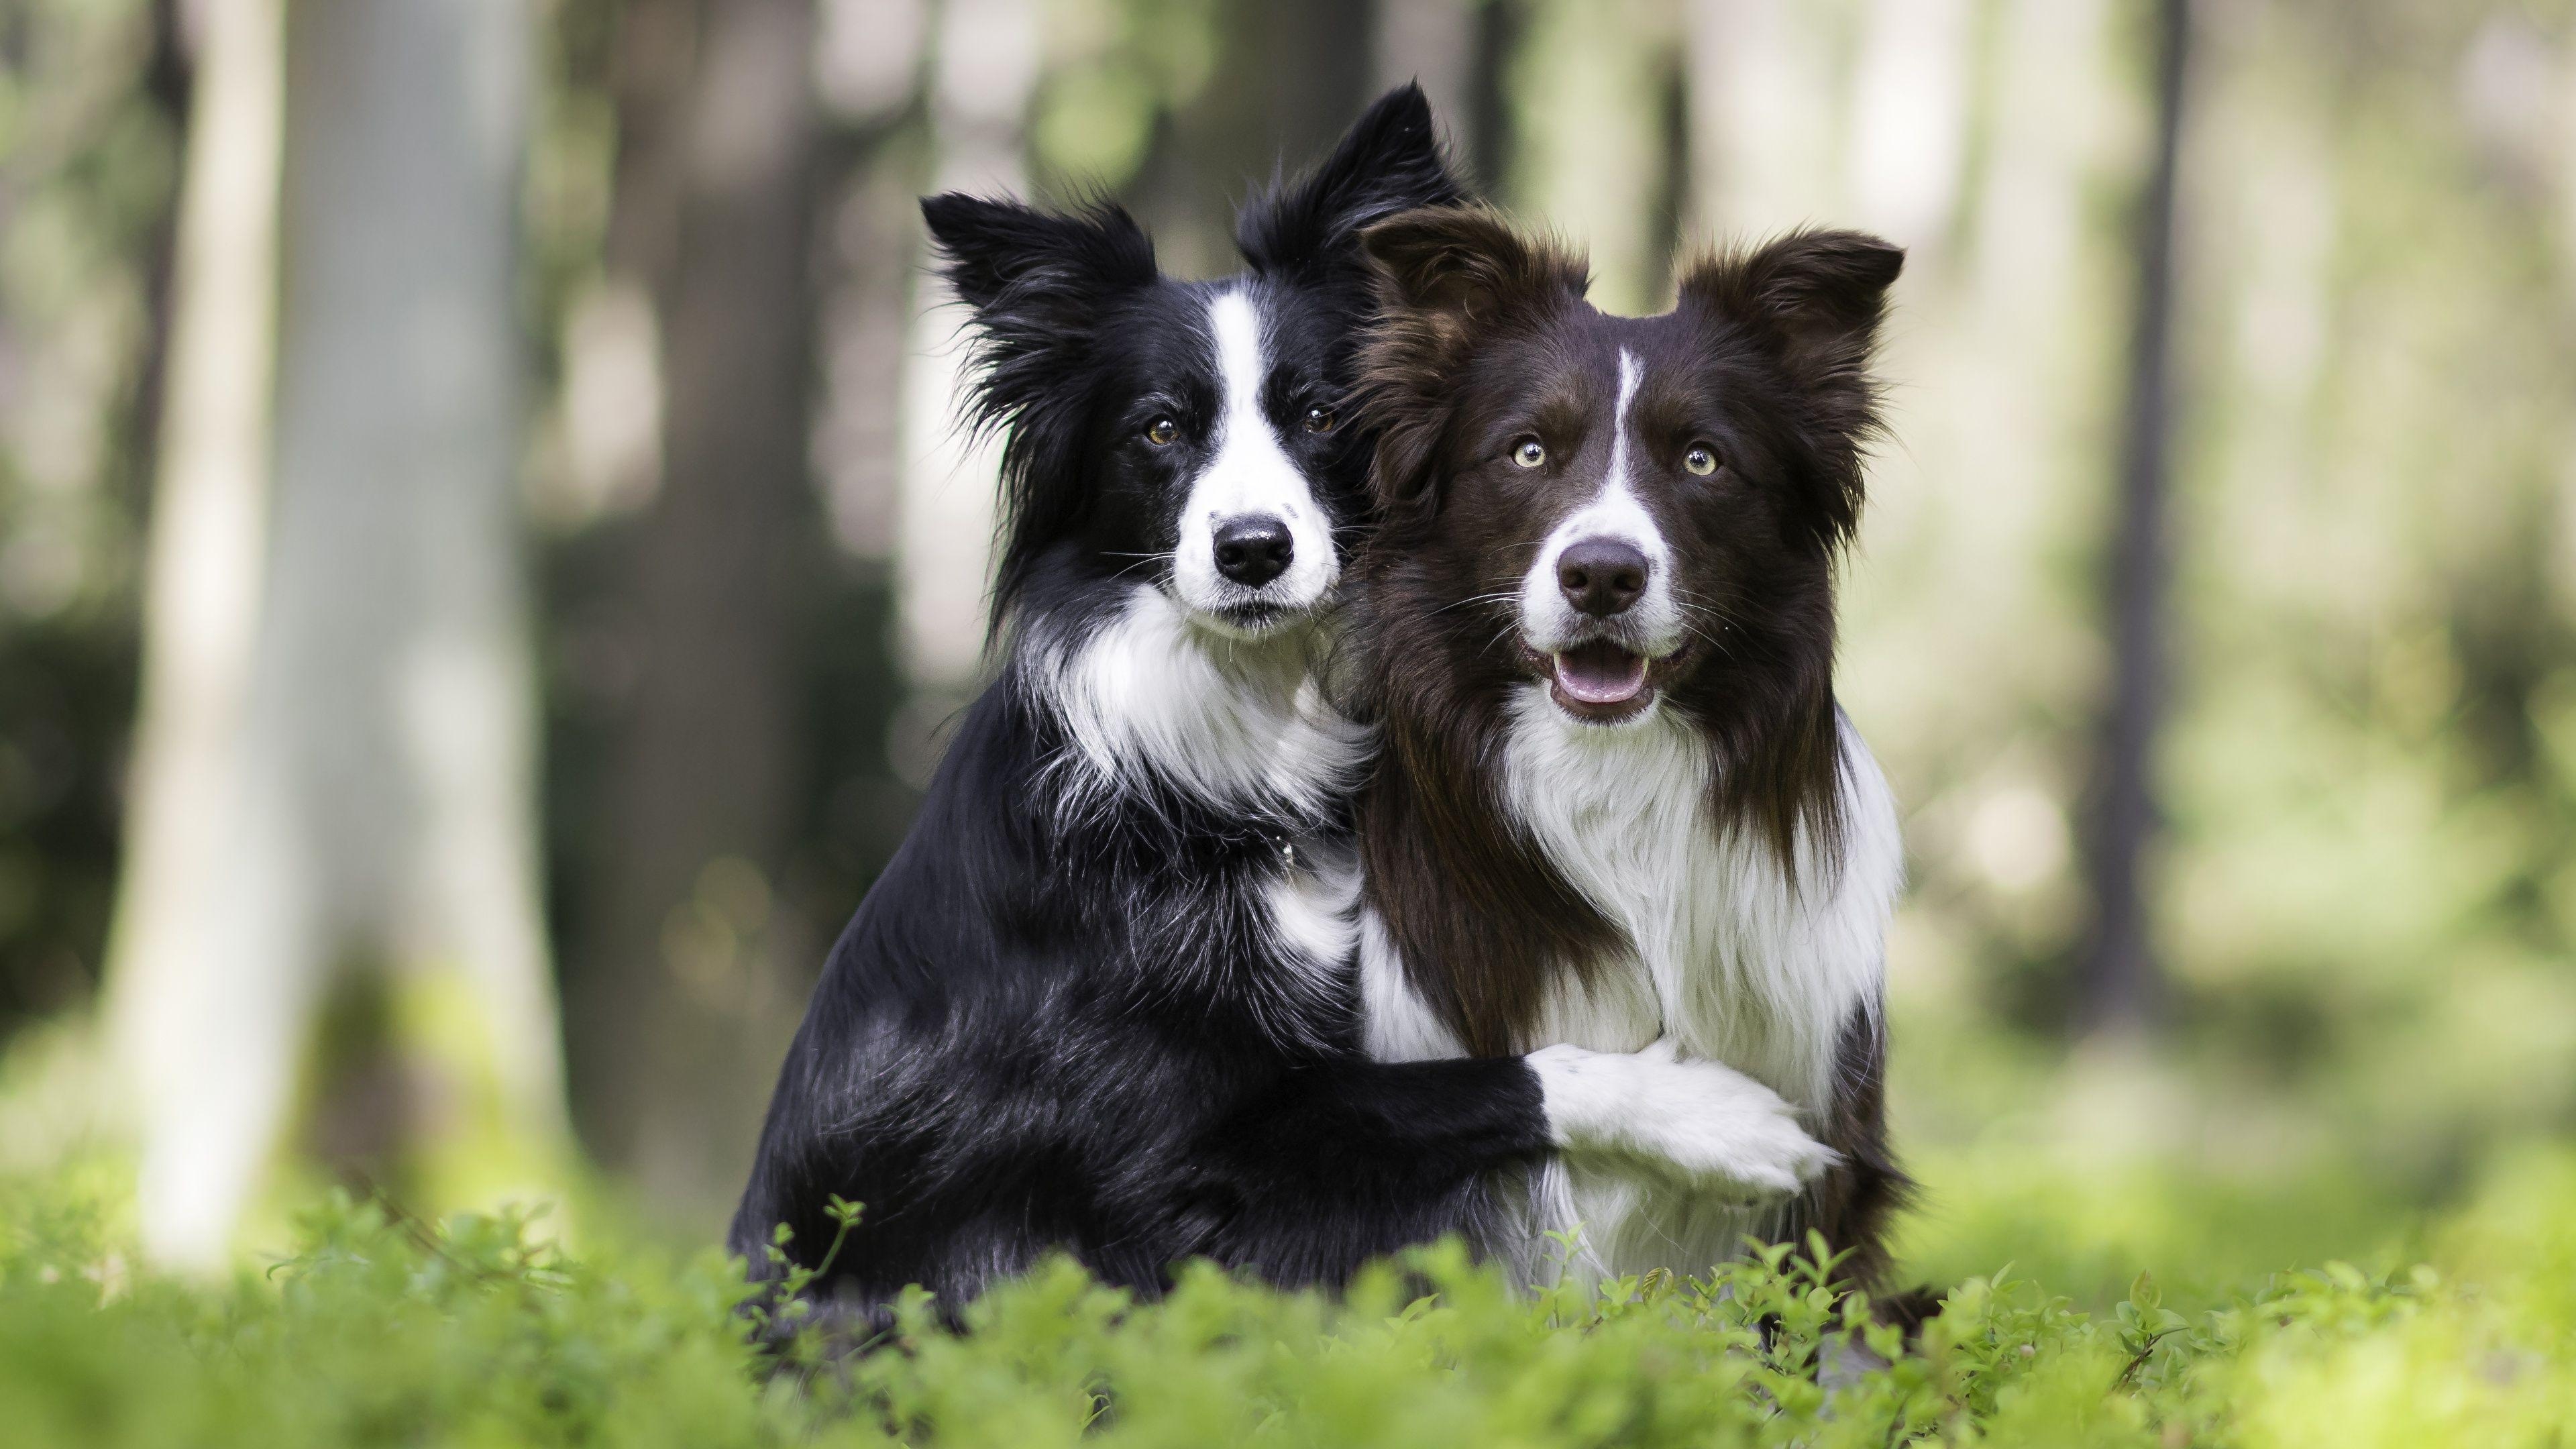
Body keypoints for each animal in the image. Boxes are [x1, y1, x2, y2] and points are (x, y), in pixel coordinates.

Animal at [726, 90, 1834, 1330]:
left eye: (1321, 414)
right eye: (1161, 430)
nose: (1252, 549)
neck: (1234, 739)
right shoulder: (1177, 1153)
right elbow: (1495, 1076)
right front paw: (1721, 1119)